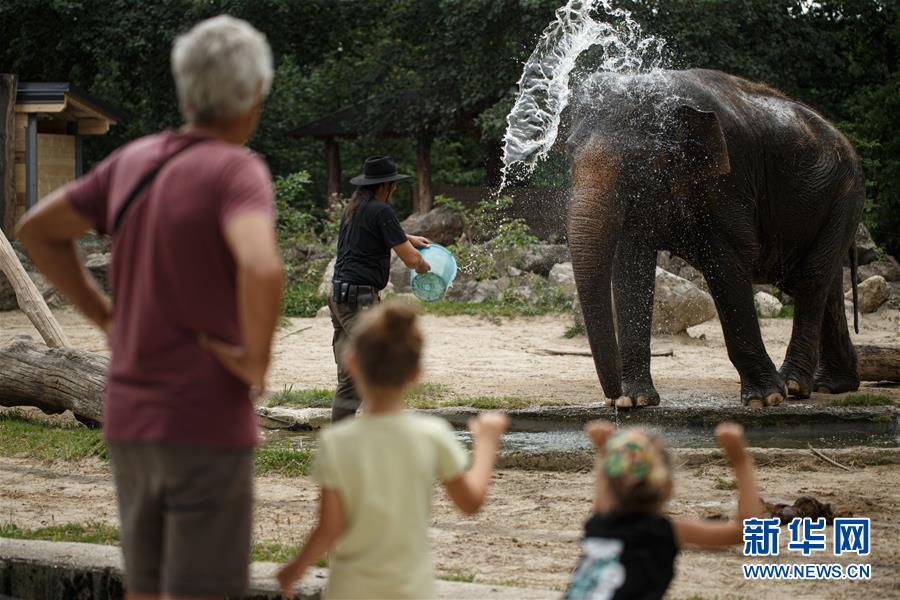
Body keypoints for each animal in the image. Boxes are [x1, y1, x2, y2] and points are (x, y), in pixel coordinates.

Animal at [568, 69, 864, 408]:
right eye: (568, 152)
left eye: (637, 159)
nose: (613, 399)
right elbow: (632, 265)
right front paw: (637, 400)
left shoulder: (729, 179)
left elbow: (726, 259)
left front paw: (765, 399)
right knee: (826, 283)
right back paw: (832, 385)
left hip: (846, 195)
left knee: (810, 279)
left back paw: (794, 386)